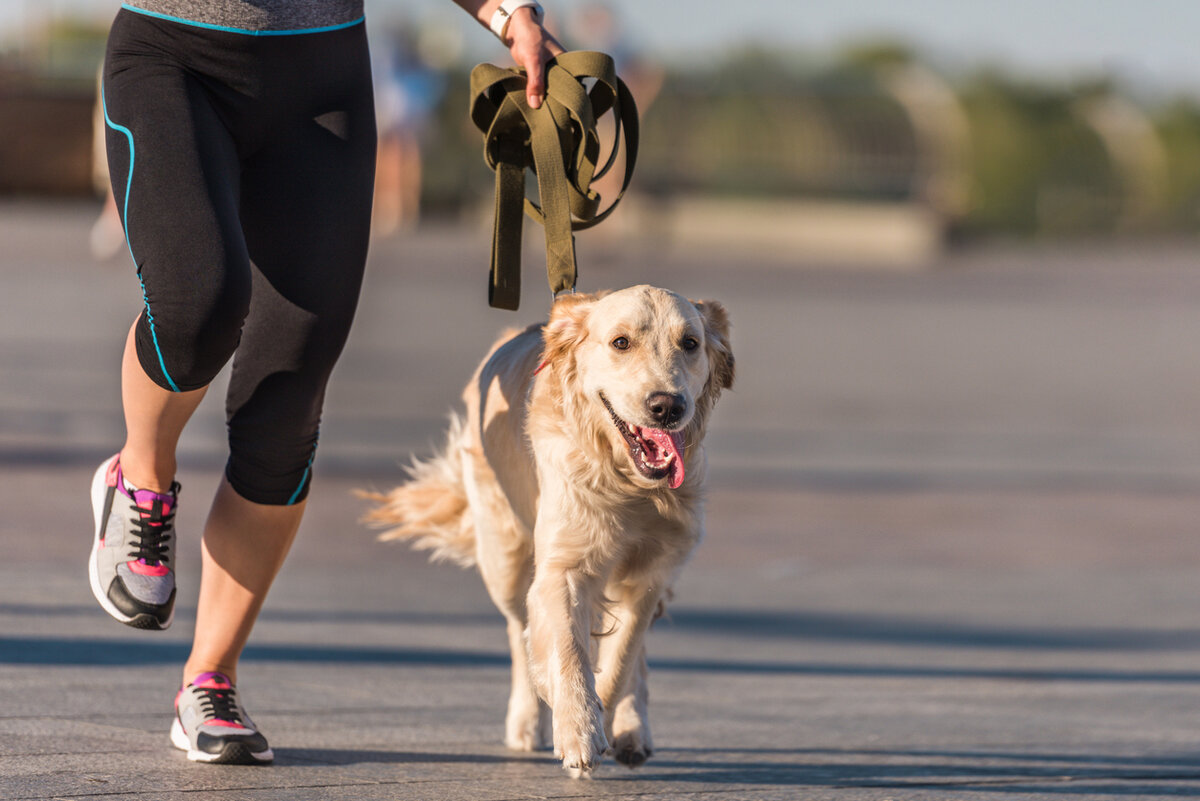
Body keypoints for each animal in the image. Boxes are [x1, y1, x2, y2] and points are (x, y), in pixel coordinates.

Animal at [357, 286, 729, 777]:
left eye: (689, 343)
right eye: (621, 343)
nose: (668, 406)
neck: (628, 484)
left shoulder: (652, 574)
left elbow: (622, 658)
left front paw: (604, 716)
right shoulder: (562, 567)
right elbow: (566, 650)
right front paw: (577, 728)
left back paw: (632, 729)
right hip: (506, 562)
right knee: (520, 633)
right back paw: (526, 721)